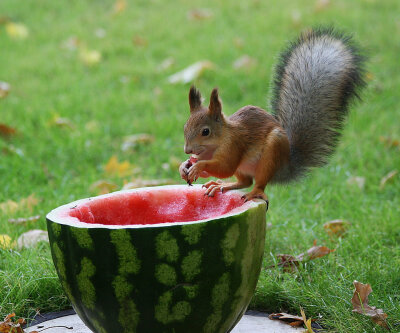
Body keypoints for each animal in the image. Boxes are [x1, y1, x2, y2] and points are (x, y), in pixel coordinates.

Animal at [178, 27, 366, 205]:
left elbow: (225, 168)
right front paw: (184, 166)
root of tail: (284, 166)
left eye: (206, 132)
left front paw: (198, 166)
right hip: (245, 168)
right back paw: (221, 185)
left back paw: (253, 192)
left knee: (258, 182)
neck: (215, 143)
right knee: (245, 181)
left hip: (270, 155)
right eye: (185, 128)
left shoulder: (234, 145)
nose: (187, 150)